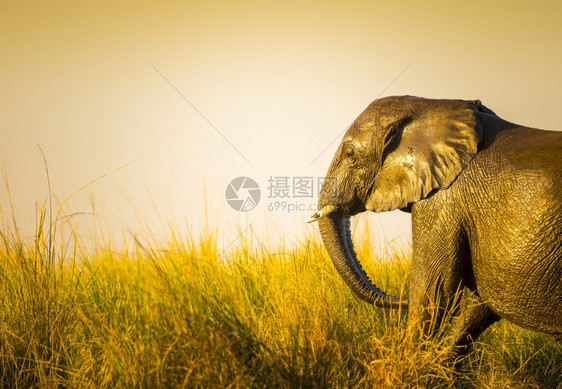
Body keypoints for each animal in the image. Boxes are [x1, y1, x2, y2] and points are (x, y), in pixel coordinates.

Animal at [306, 95, 560, 366]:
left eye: (350, 154)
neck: (431, 105)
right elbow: (477, 302)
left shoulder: (443, 200)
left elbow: (433, 287)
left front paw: (408, 369)